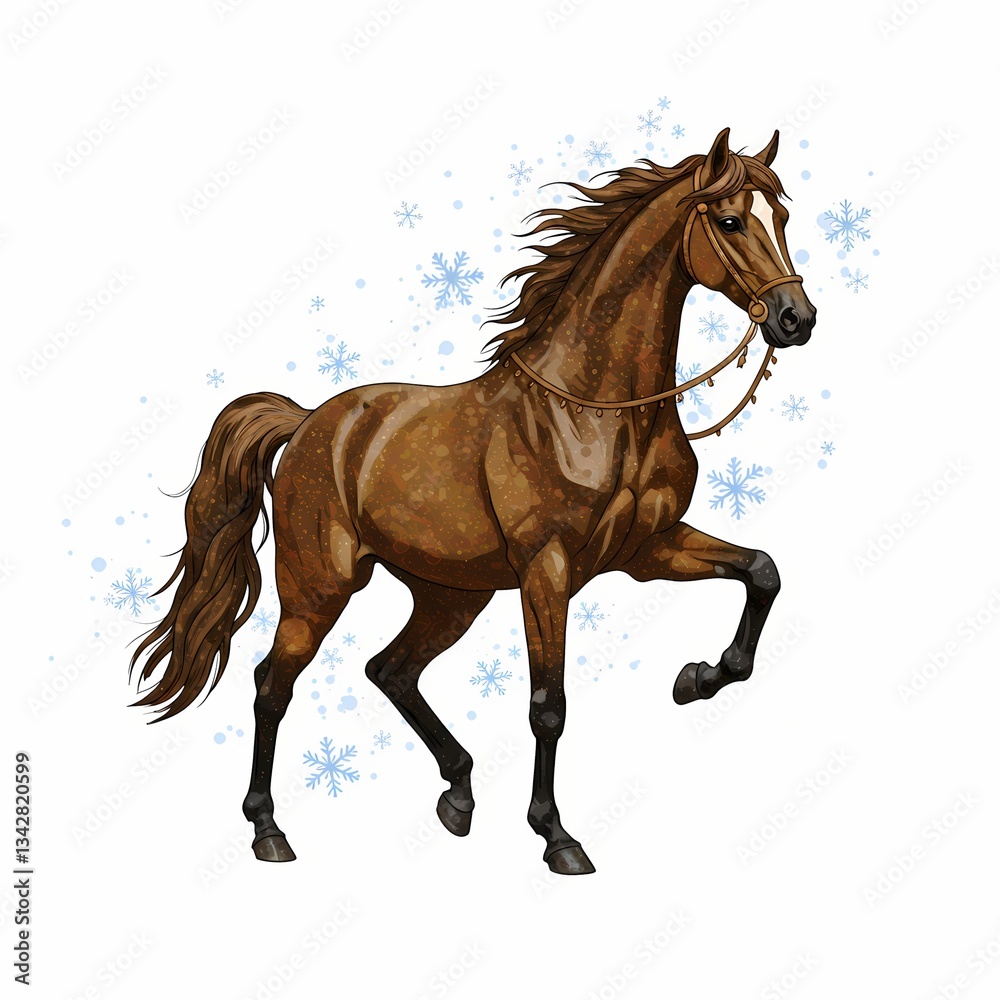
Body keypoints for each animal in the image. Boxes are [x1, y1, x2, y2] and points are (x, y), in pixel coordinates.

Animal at [130, 127, 816, 875]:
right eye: (730, 221)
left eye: (782, 217)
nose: (796, 318)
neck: (595, 411)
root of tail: (310, 422)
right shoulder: (547, 570)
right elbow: (549, 705)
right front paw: (557, 836)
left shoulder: (647, 548)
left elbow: (762, 571)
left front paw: (698, 678)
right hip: (320, 586)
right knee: (271, 685)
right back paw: (268, 830)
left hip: (450, 596)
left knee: (390, 670)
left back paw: (457, 793)